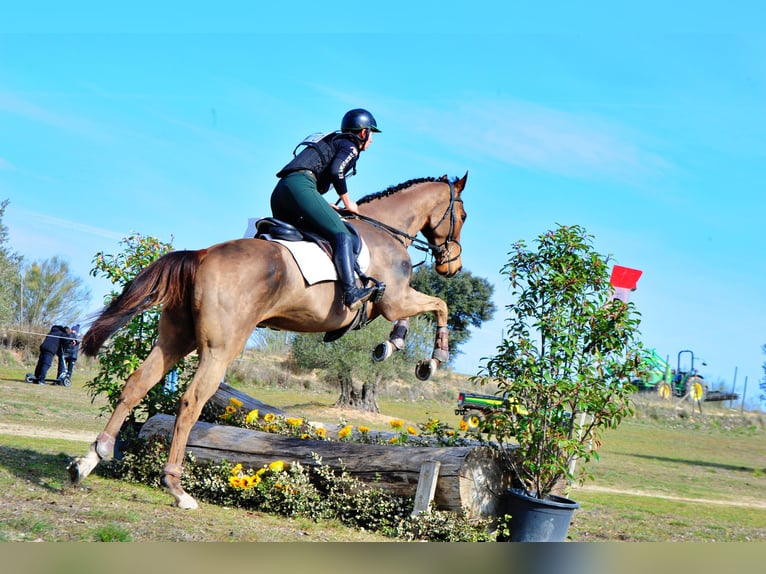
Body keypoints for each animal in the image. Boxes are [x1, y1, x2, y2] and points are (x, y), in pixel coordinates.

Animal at [69, 173, 468, 509]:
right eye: (462, 215)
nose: (453, 267)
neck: (386, 230)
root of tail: (202, 256)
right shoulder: (394, 299)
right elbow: (440, 305)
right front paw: (432, 359)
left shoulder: (392, 302)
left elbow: (419, 314)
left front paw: (389, 346)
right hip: (220, 349)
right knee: (190, 402)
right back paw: (177, 488)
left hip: (175, 339)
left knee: (137, 383)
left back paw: (91, 459)